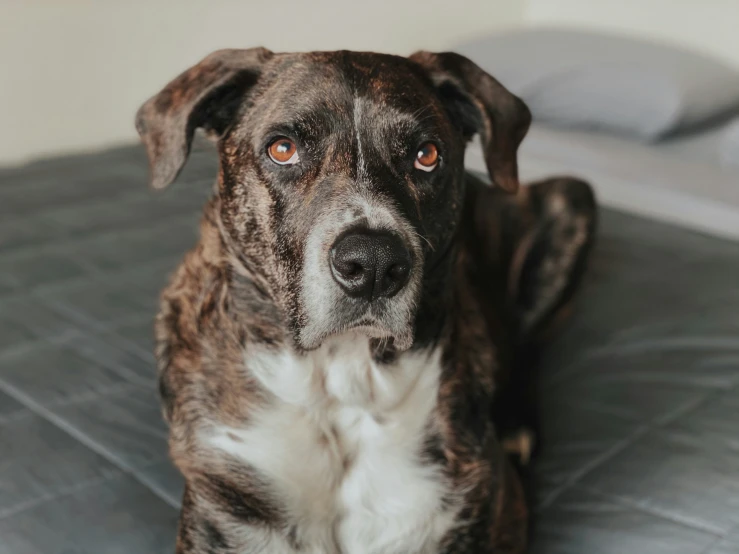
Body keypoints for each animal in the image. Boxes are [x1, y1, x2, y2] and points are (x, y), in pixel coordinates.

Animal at [136, 48, 600, 552]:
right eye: (282, 149)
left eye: (426, 155)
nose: (374, 264)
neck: (344, 382)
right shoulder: (226, 506)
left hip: (572, 201)